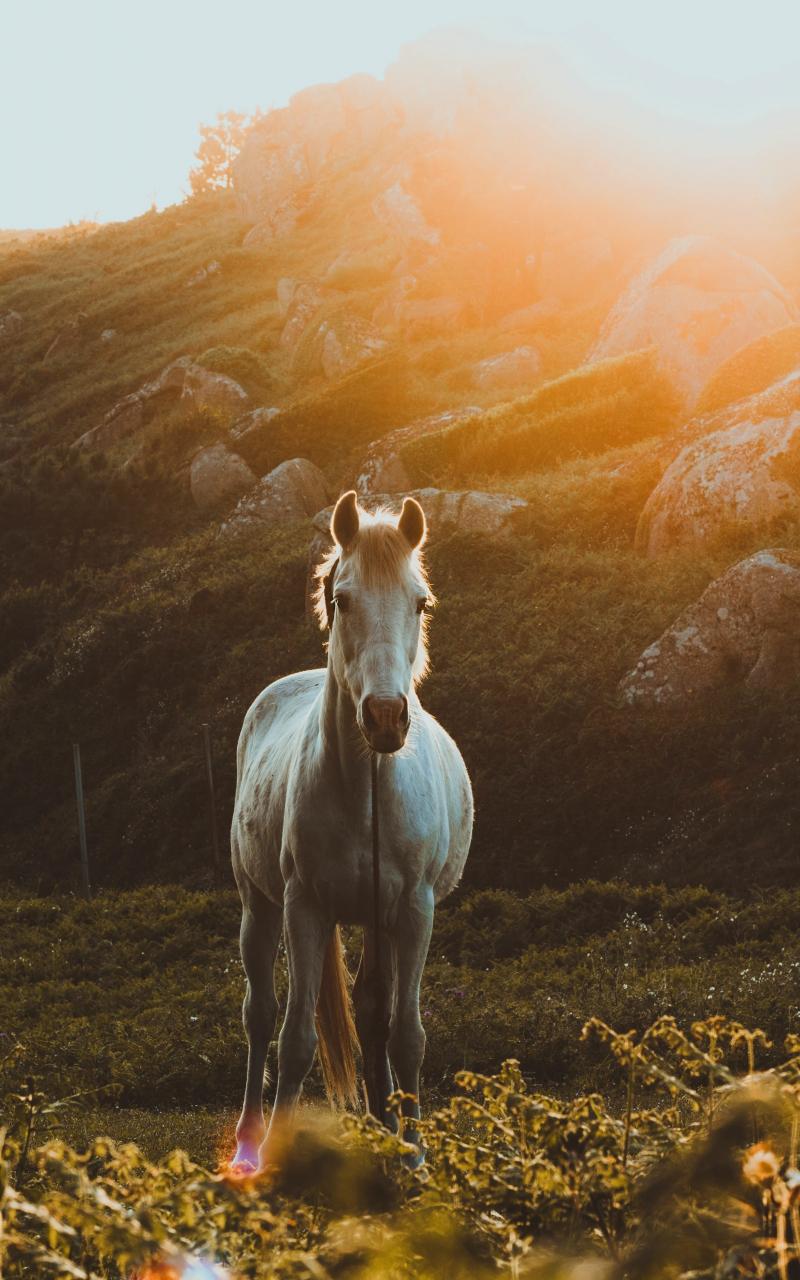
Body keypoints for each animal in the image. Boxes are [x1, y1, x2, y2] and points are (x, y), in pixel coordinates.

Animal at [230, 489, 473, 1170]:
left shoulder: (413, 911)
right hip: (259, 906)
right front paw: (276, 1158)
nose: (386, 717)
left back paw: (384, 1127)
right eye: (342, 599)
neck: (367, 791)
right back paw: (248, 1142)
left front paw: (413, 1154)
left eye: (420, 602)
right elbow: (295, 1039)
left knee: (371, 1015)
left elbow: (405, 1035)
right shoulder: (305, 907)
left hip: (377, 920)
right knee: (260, 1016)